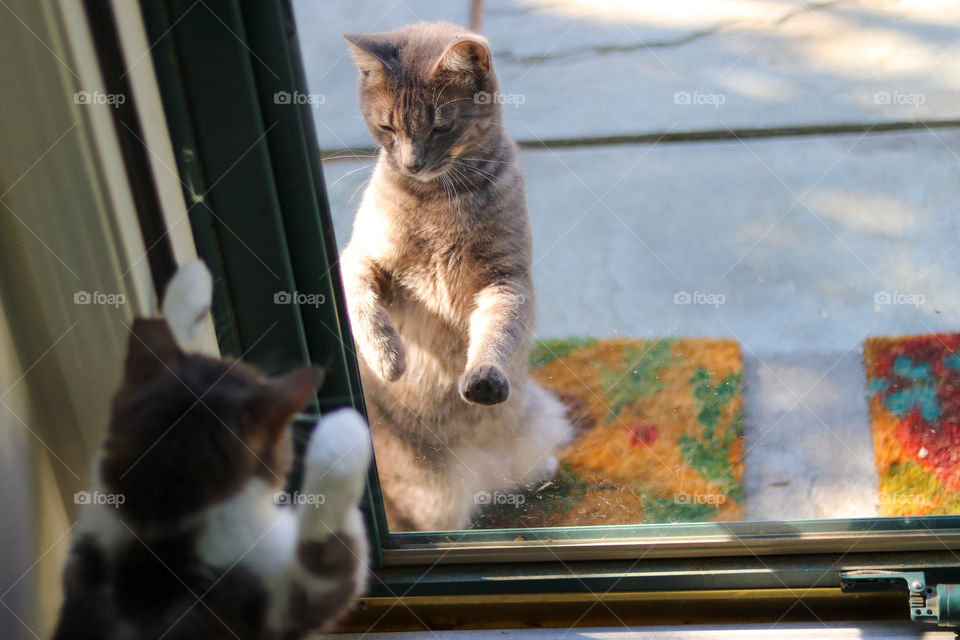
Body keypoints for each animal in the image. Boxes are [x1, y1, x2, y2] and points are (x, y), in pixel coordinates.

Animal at [342, 21, 572, 528]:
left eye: (440, 126)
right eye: (387, 126)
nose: (411, 162)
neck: (439, 201)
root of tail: (480, 474)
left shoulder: (505, 281)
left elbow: (496, 333)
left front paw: (482, 376)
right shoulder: (361, 259)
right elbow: (364, 308)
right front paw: (388, 359)